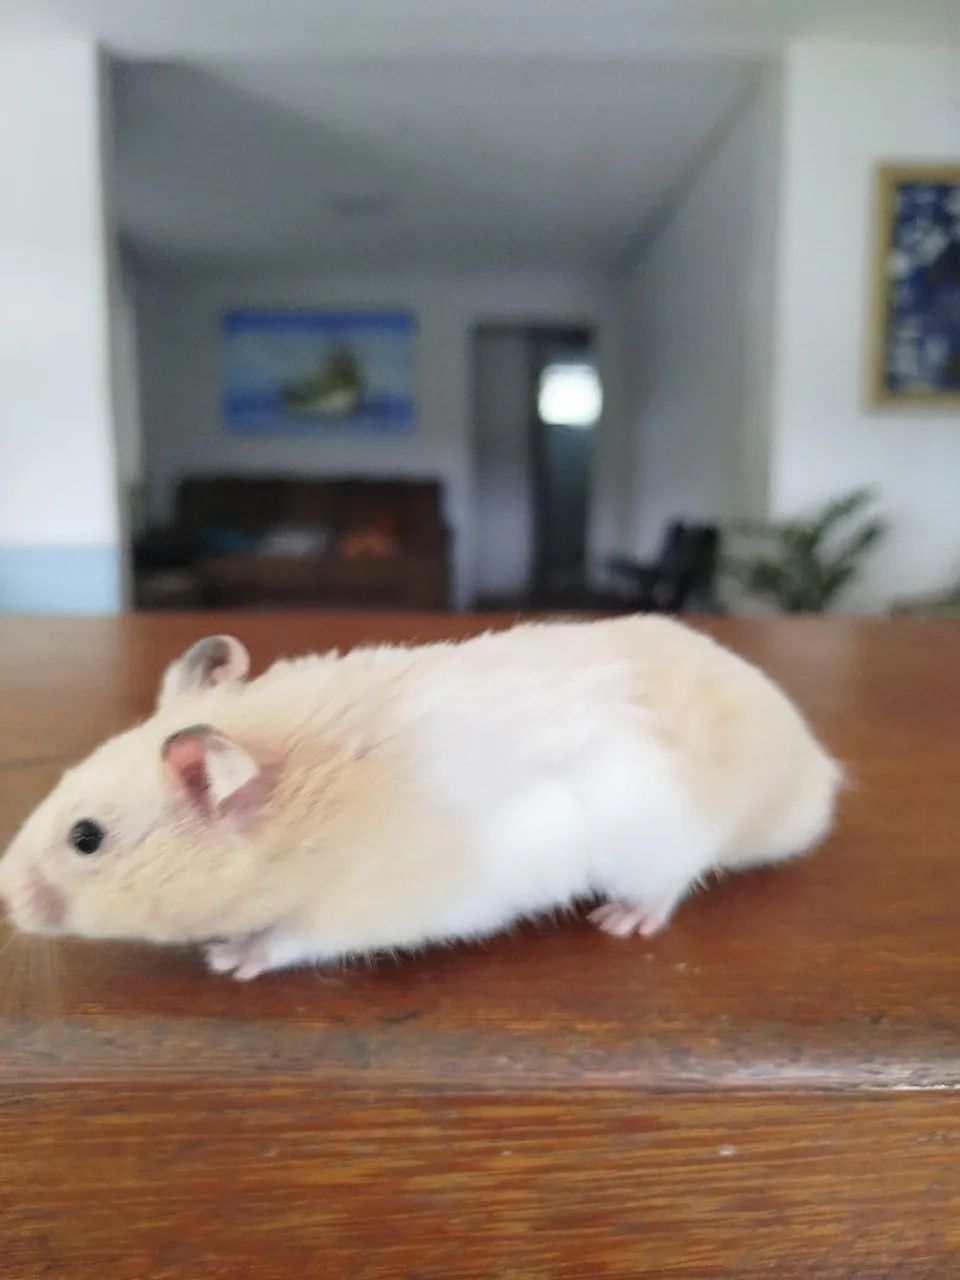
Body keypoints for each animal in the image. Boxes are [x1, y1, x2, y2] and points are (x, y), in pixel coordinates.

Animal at [0, 616, 840, 981]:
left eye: (86, 838)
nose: (5, 897)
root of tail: (813, 771)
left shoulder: (353, 910)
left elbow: (287, 941)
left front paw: (227, 959)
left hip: (661, 845)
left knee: (667, 889)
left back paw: (619, 920)